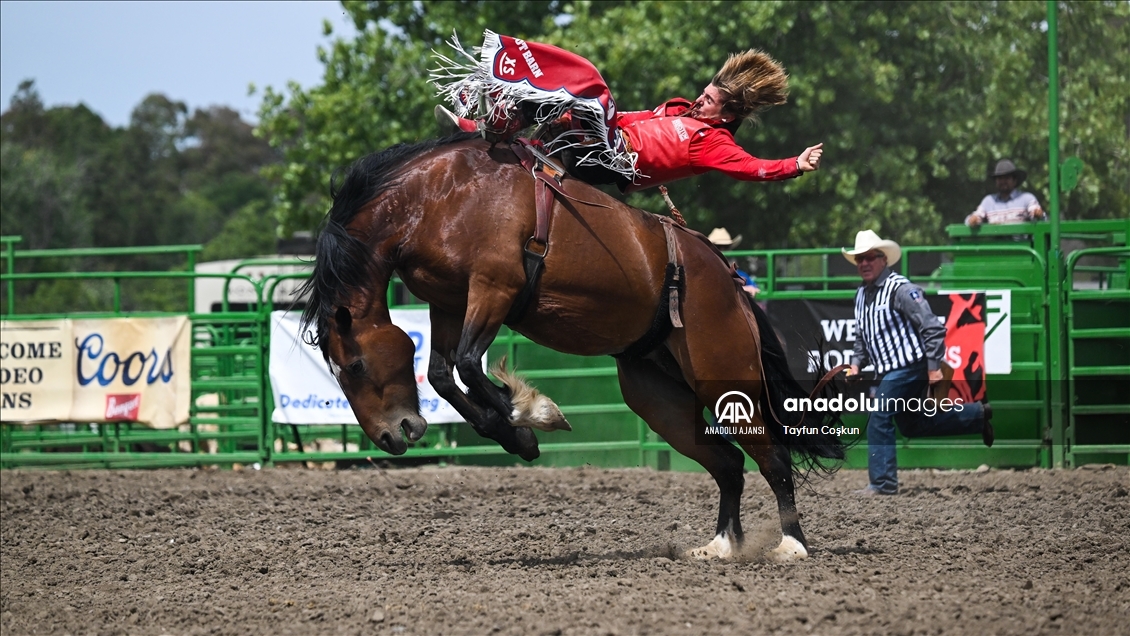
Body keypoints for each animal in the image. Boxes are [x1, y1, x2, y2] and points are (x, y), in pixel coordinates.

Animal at [296, 134, 845, 562]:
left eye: (355, 365)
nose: (392, 436)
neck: (437, 198)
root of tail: (728, 278)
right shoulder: (449, 304)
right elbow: (441, 375)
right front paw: (517, 436)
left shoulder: (493, 289)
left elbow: (470, 367)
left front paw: (534, 414)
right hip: (656, 395)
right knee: (728, 463)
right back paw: (721, 546)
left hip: (724, 372)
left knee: (772, 456)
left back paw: (792, 545)